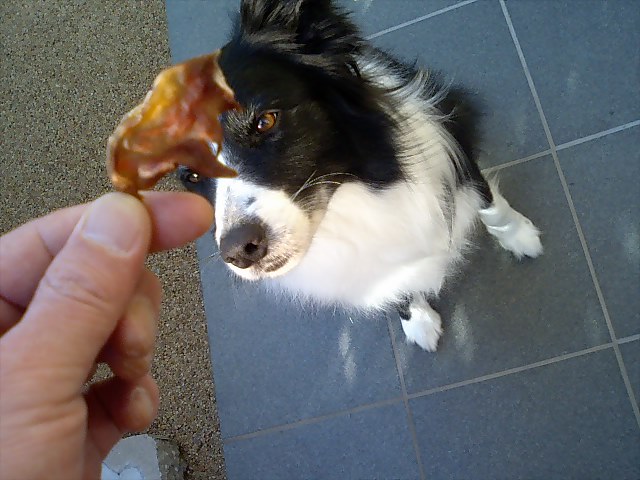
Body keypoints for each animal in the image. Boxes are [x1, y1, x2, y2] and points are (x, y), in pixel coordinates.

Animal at [201, 0, 542, 351]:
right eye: (190, 175)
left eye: (264, 121)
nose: (239, 251)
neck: (350, 199)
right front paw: (418, 321)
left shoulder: (456, 147)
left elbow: (490, 203)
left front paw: (518, 235)